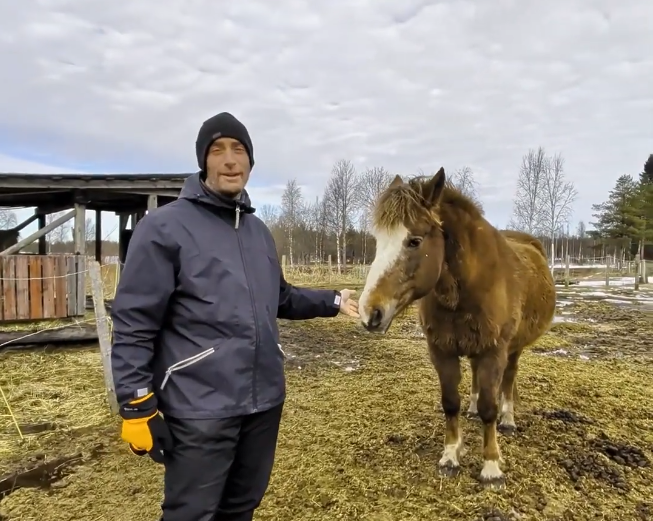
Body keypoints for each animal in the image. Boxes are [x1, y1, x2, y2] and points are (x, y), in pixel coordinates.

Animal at [357, 167, 556, 489]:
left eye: (414, 241)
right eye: (378, 241)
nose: (369, 312)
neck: (469, 286)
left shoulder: (493, 352)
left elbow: (490, 406)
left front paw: (491, 467)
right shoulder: (442, 351)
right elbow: (450, 403)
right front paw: (450, 456)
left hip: (512, 349)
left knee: (509, 380)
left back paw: (508, 419)